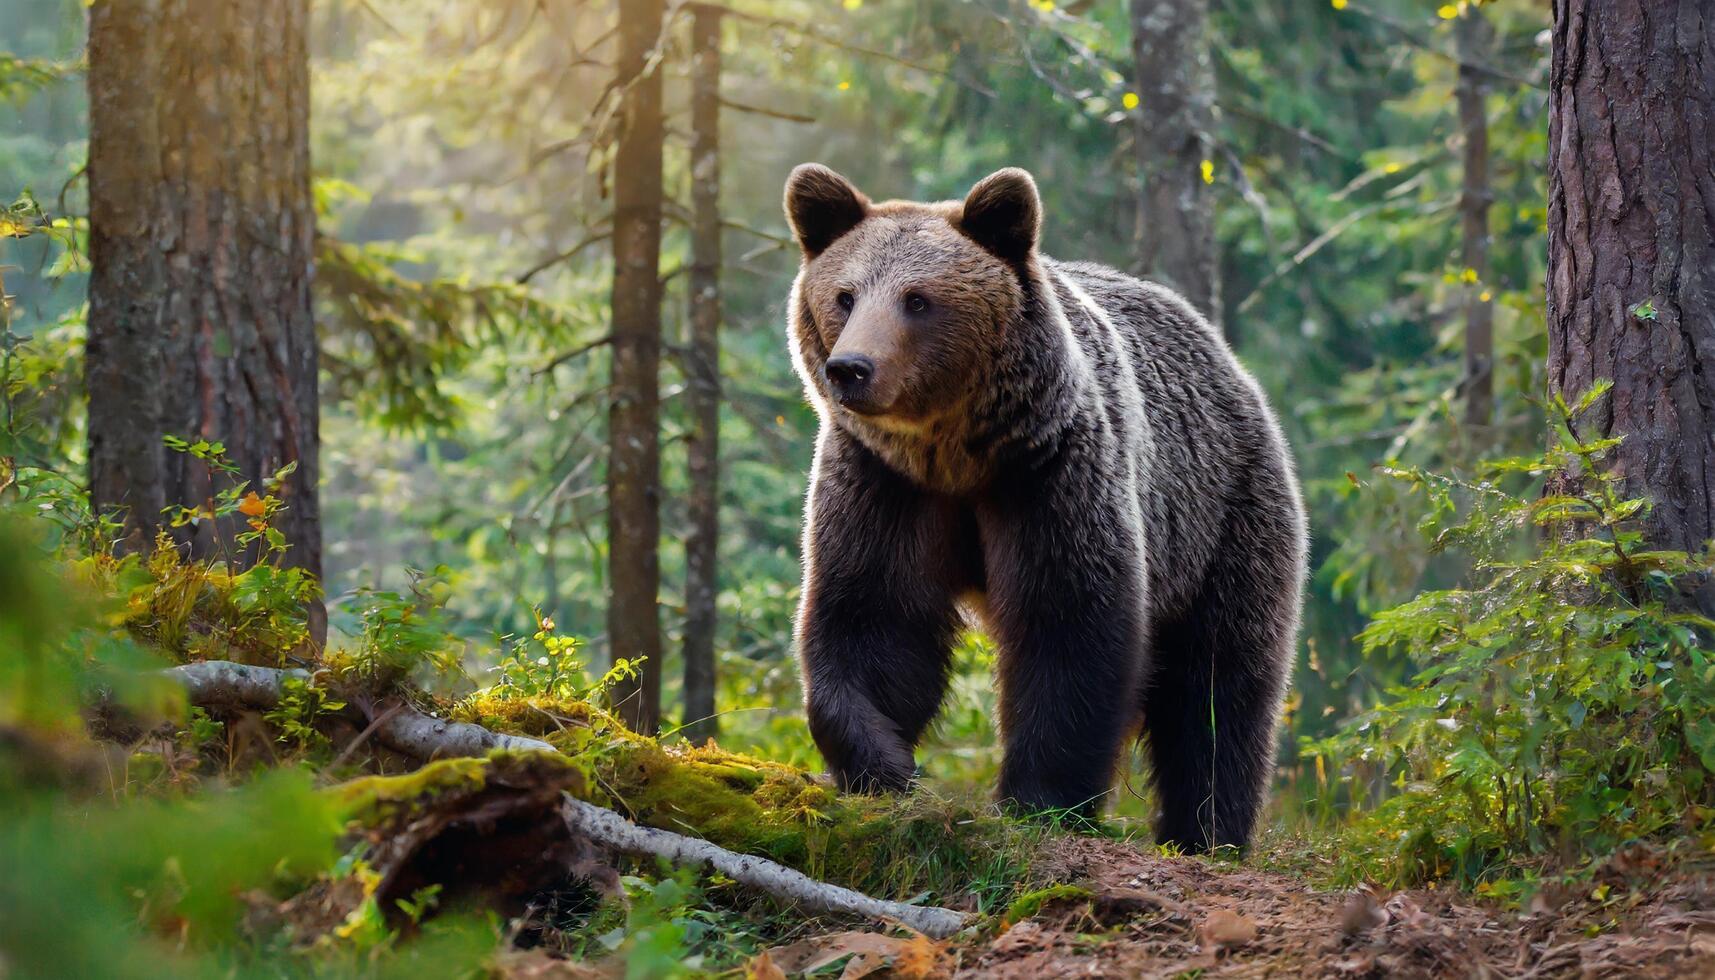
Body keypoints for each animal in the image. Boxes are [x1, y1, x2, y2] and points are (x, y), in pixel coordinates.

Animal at [785, 163, 1303, 851]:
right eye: (845, 295)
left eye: (918, 300)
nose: (852, 367)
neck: (956, 455)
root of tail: (1225, 357)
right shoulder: (886, 484)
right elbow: (873, 618)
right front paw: (883, 766)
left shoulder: (1051, 474)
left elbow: (1069, 628)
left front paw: (1039, 801)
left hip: (1223, 516)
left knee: (1218, 686)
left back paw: (1208, 831)